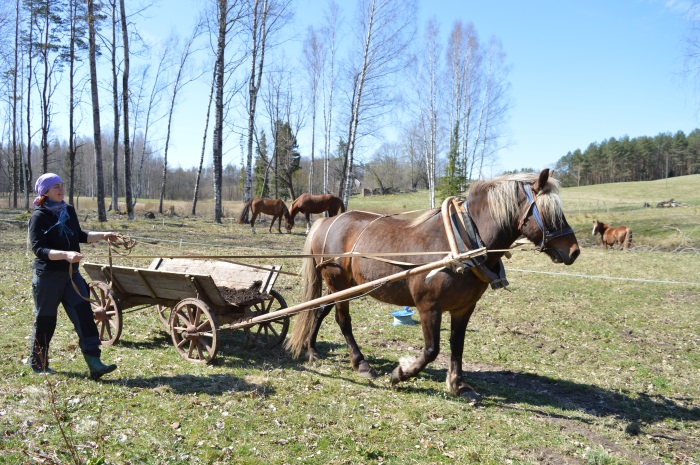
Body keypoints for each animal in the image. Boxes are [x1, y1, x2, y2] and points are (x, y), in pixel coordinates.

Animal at [284, 169, 580, 400]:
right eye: (550, 212)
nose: (574, 251)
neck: (460, 243)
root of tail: (327, 220)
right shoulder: (429, 307)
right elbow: (431, 349)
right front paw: (400, 373)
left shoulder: (464, 308)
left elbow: (457, 344)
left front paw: (458, 385)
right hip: (338, 284)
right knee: (342, 320)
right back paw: (361, 363)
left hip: (340, 287)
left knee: (318, 311)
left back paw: (312, 349)